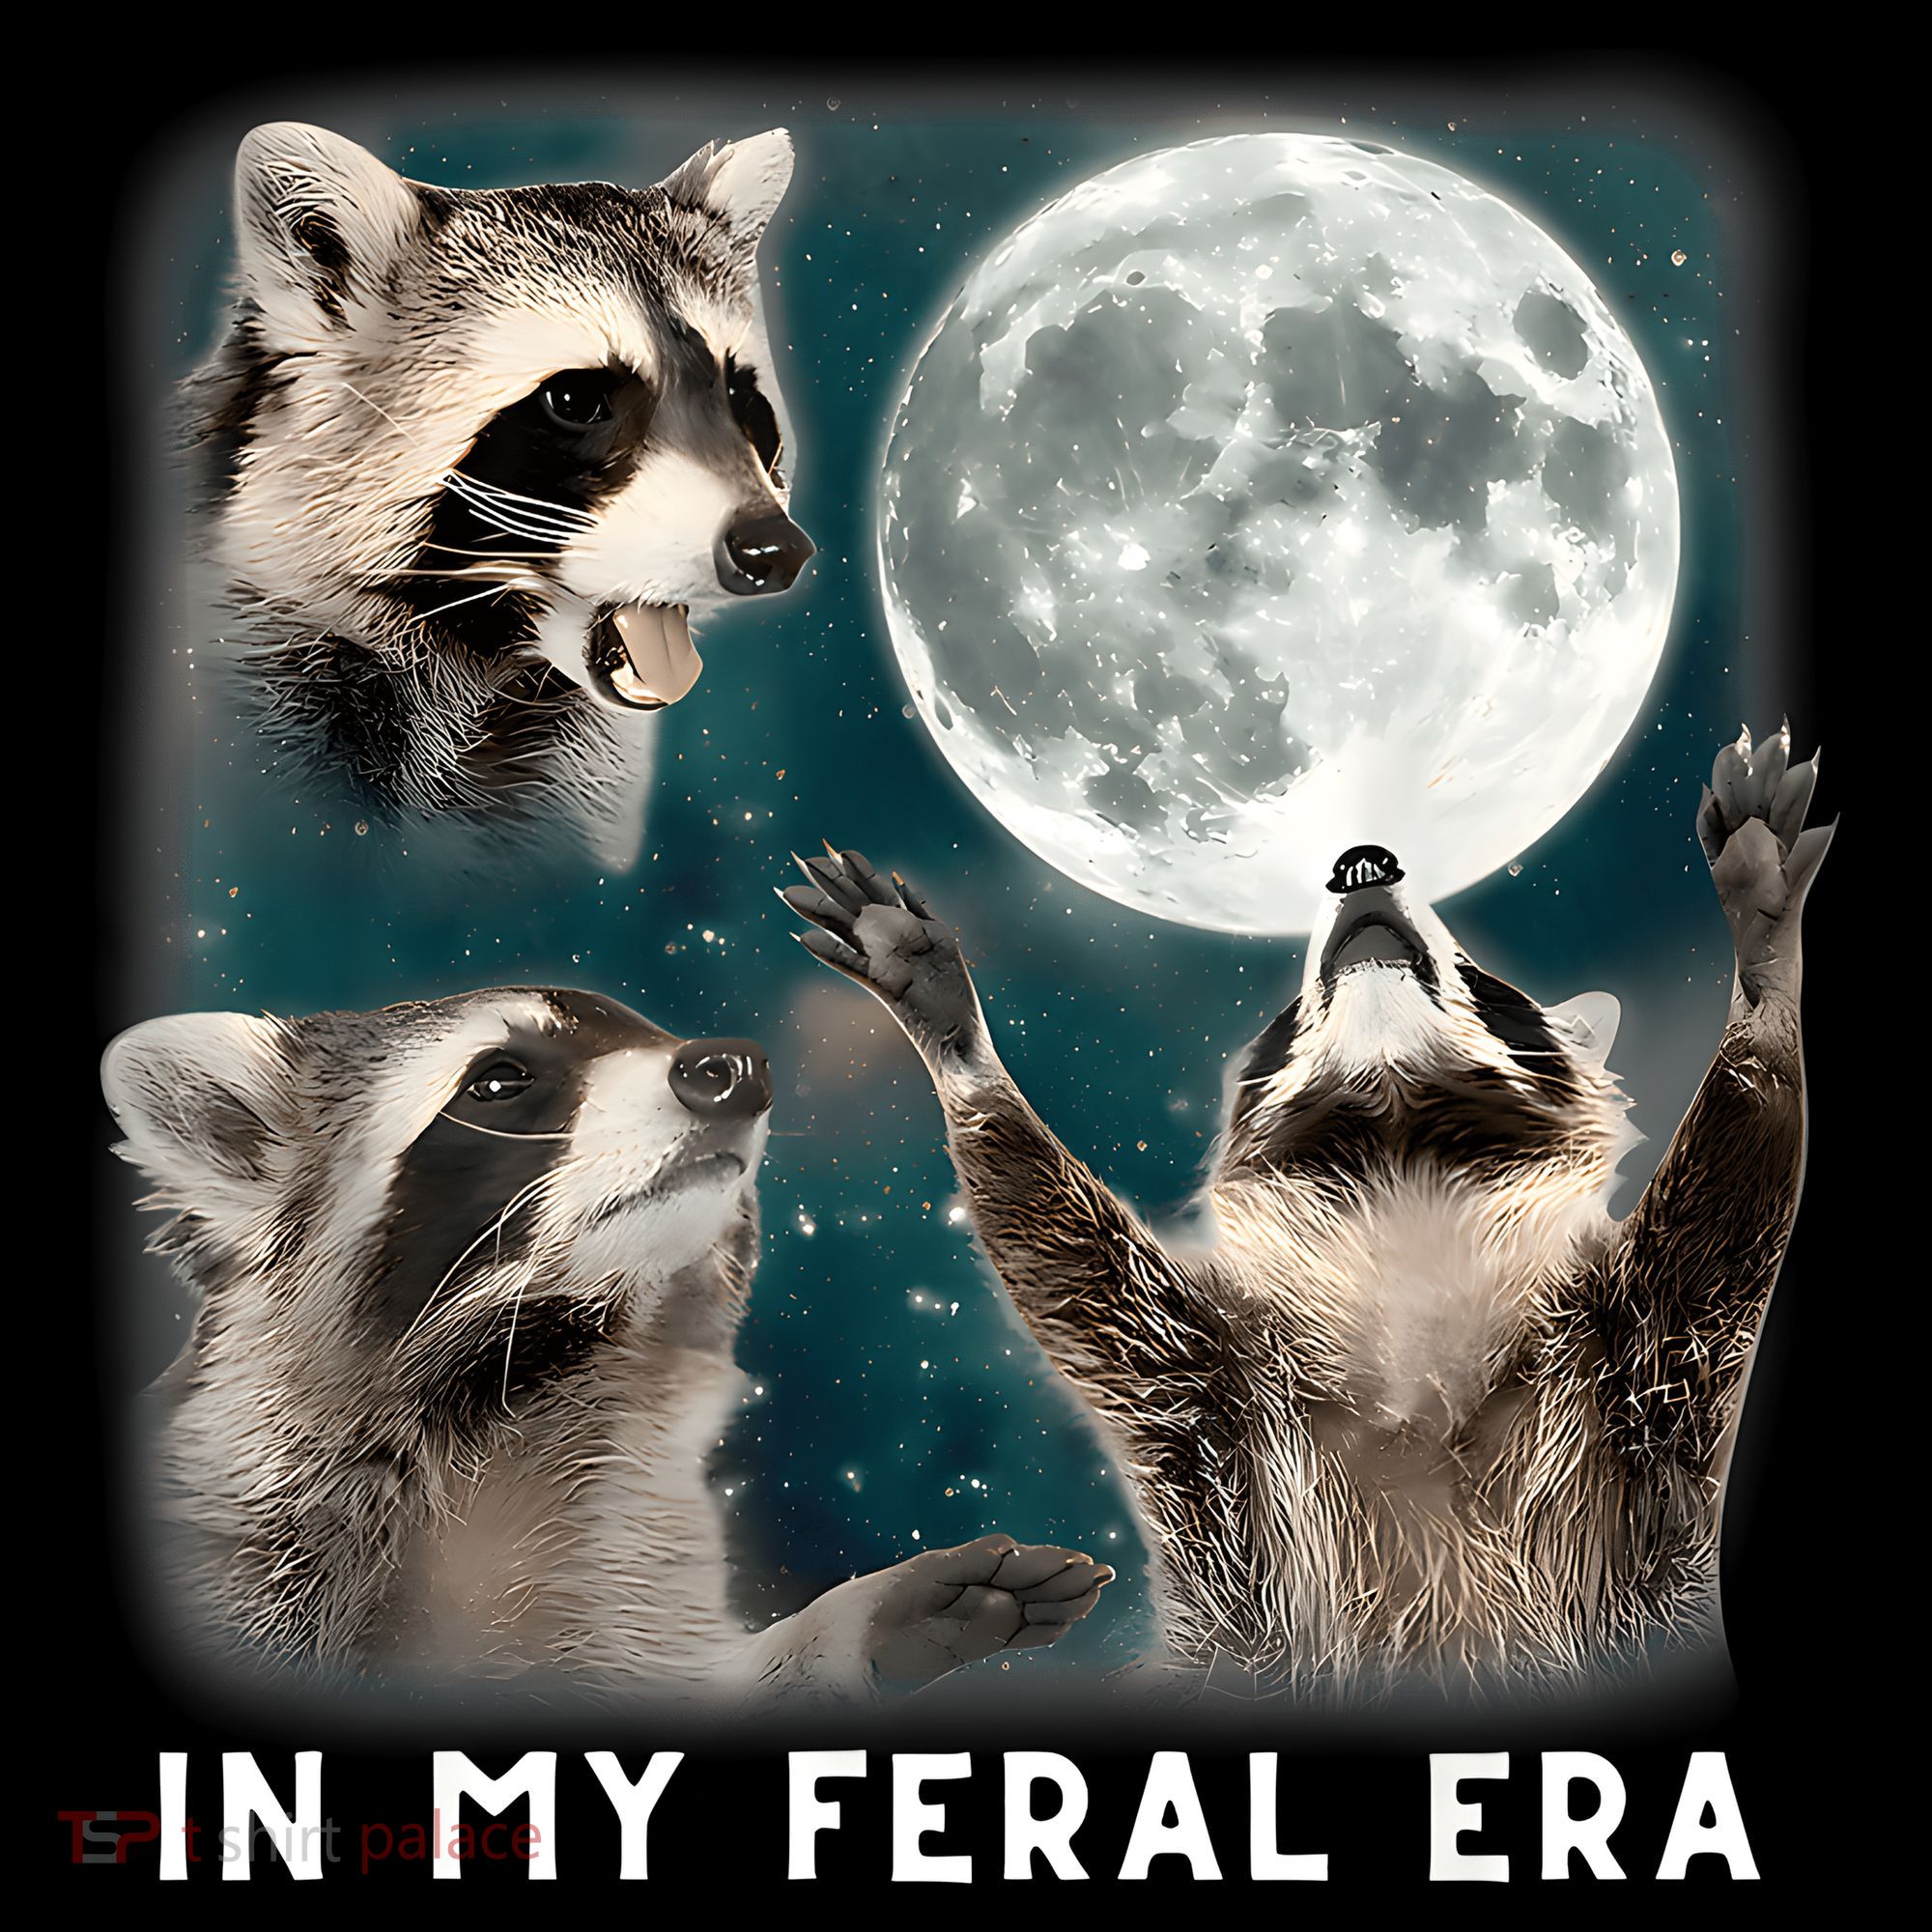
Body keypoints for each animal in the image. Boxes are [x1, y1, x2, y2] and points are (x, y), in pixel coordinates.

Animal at [100, 989, 1108, 1699]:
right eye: (499, 1077)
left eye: (654, 1033)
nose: (736, 1066)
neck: (529, 1375)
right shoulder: (241, 1537)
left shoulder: (613, 1575)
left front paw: (853, 1624)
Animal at [784, 726, 1831, 1701]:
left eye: (1471, 964)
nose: (1360, 861)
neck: (1402, 1179)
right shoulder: (1209, 1397)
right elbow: (1071, 1266)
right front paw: (954, 1036)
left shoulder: (1642, 1365)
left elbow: (1728, 1203)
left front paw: (1763, 959)